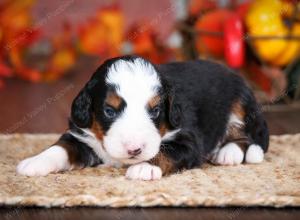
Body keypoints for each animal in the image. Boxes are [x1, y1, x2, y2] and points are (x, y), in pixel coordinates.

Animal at [16, 55, 270, 180]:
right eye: (109, 111)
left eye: (155, 111)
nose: (134, 150)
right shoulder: (81, 134)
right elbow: (61, 147)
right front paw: (35, 162)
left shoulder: (189, 140)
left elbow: (166, 151)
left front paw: (144, 167)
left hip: (240, 103)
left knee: (246, 135)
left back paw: (228, 153)